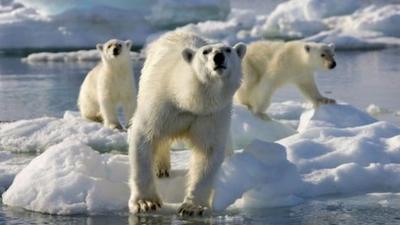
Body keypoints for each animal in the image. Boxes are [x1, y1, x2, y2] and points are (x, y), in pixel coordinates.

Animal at [128, 31, 247, 216]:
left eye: (228, 50)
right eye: (205, 52)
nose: (218, 57)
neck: (188, 101)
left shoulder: (210, 115)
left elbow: (208, 153)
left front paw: (192, 207)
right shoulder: (161, 105)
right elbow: (144, 138)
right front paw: (145, 203)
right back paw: (161, 168)